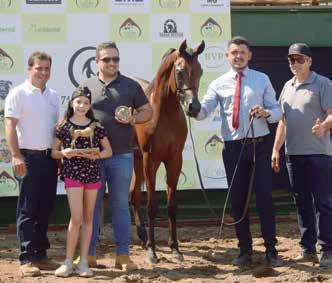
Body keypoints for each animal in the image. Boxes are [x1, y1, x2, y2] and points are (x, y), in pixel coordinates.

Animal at [130, 40, 205, 264]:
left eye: (200, 71)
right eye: (179, 72)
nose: (194, 107)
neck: (163, 113)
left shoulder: (174, 160)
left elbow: (172, 206)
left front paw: (175, 249)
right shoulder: (151, 160)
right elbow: (152, 207)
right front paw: (153, 253)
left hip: (137, 160)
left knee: (133, 194)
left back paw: (143, 237)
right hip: (137, 160)